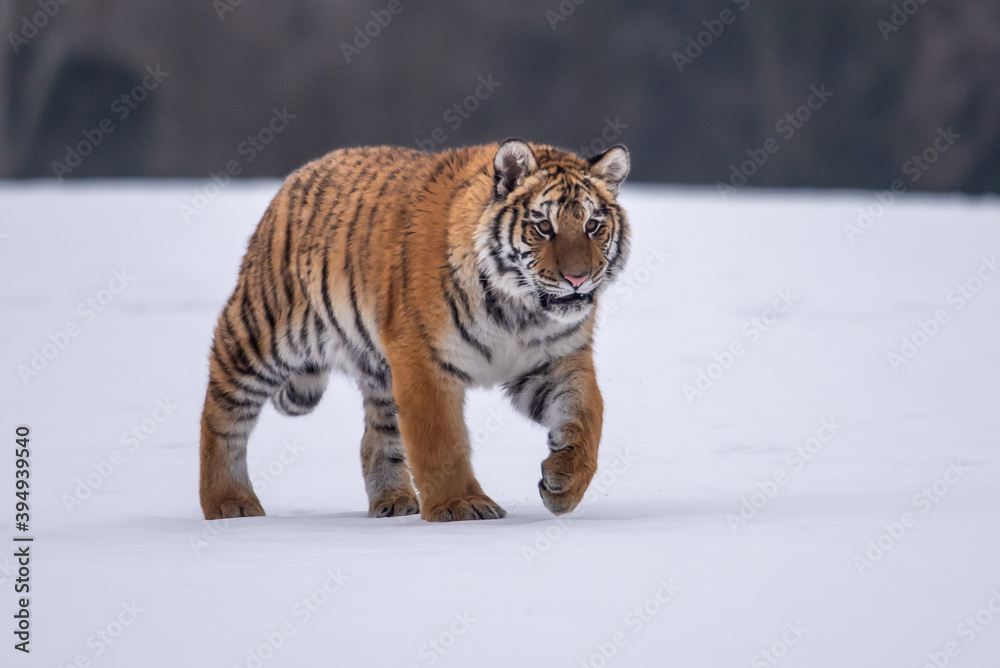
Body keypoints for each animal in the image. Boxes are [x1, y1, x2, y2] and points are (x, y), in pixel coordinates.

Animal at [199, 139, 631, 522]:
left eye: (593, 225)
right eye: (542, 226)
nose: (578, 278)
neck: (520, 309)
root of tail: (299, 175)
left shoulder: (555, 360)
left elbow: (587, 417)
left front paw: (564, 484)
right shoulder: (424, 360)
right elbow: (441, 442)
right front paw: (461, 506)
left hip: (379, 368)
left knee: (376, 438)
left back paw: (392, 501)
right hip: (262, 335)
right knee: (221, 415)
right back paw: (228, 503)